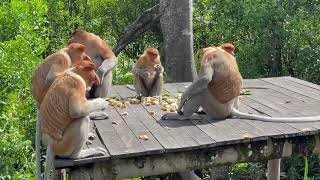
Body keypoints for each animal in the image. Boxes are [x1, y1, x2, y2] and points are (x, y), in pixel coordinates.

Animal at [30, 42, 91, 180]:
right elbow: (51, 78)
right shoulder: (63, 59)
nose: (86, 57)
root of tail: (38, 103)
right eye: (81, 51)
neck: (64, 51)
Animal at [162, 43, 320, 122]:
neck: (218, 50)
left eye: (202, 55)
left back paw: (182, 116)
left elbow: (205, 79)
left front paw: (181, 103)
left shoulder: (209, 58)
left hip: (217, 108)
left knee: (202, 92)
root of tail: (231, 109)